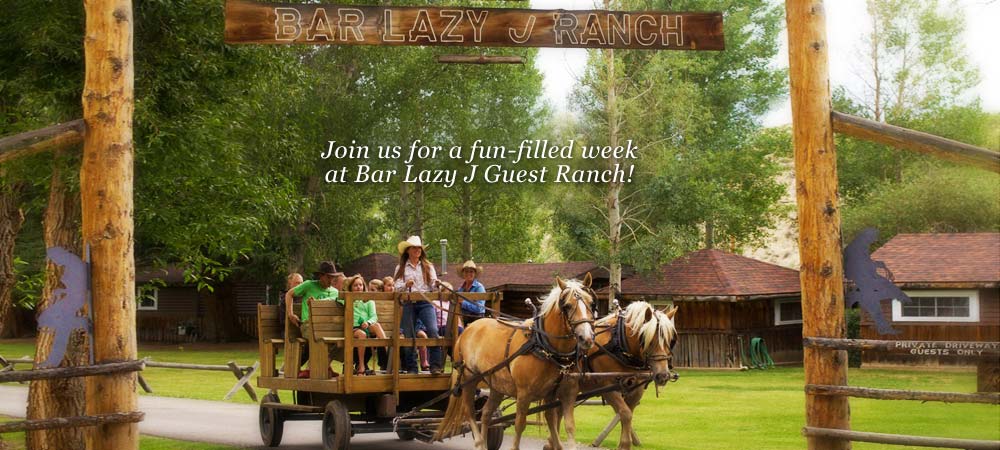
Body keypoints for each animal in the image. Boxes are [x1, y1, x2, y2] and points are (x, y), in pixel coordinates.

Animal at [436, 274, 592, 450]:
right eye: (567, 305)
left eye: (591, 303)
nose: (586, 338)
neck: (545, 347)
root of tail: (467, 330)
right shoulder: (524, 394)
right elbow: (520, 425)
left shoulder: (566, 393)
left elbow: (564, 425)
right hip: (469, 379)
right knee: (469, 411)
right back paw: (479, 442)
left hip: (496, 385)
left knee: (486, 414)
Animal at [548, 300, 680, 450]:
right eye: (648, 339)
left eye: (670, 339)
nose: (663, 375)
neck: (619, 342)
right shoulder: (608, 387)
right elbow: (625, 414)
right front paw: (624, 444)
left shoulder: (636, 389)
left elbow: (627, 414)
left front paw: (624, 443)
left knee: (558, 410)